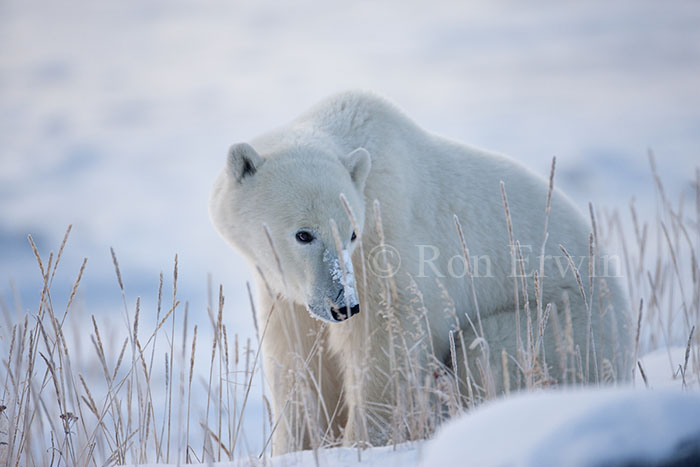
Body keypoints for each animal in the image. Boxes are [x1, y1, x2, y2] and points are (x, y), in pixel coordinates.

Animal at [211, 89, 632, 456]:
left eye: (351, 232)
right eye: (303, 234)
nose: (343, 306)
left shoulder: (387, 246)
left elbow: (386, 345)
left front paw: (364, 443)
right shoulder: (286, 292)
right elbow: (299, 361)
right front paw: (298, 446)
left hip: (567, 326)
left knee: (486, 350)